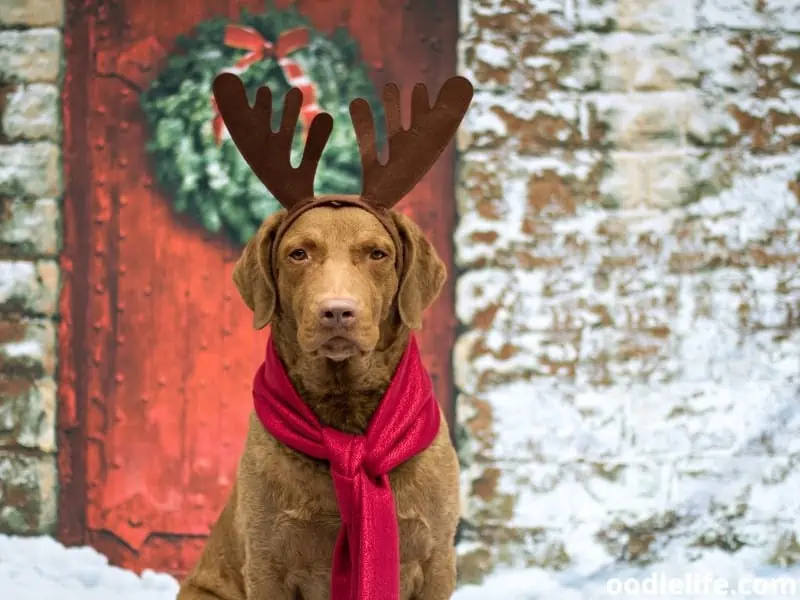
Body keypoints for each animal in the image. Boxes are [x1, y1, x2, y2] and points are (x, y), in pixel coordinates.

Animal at [178, 72, 472, 596]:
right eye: (298, 253)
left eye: (377, 253)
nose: (337, 312)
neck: (347, 426)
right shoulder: (268, 562)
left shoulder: (437, 558)